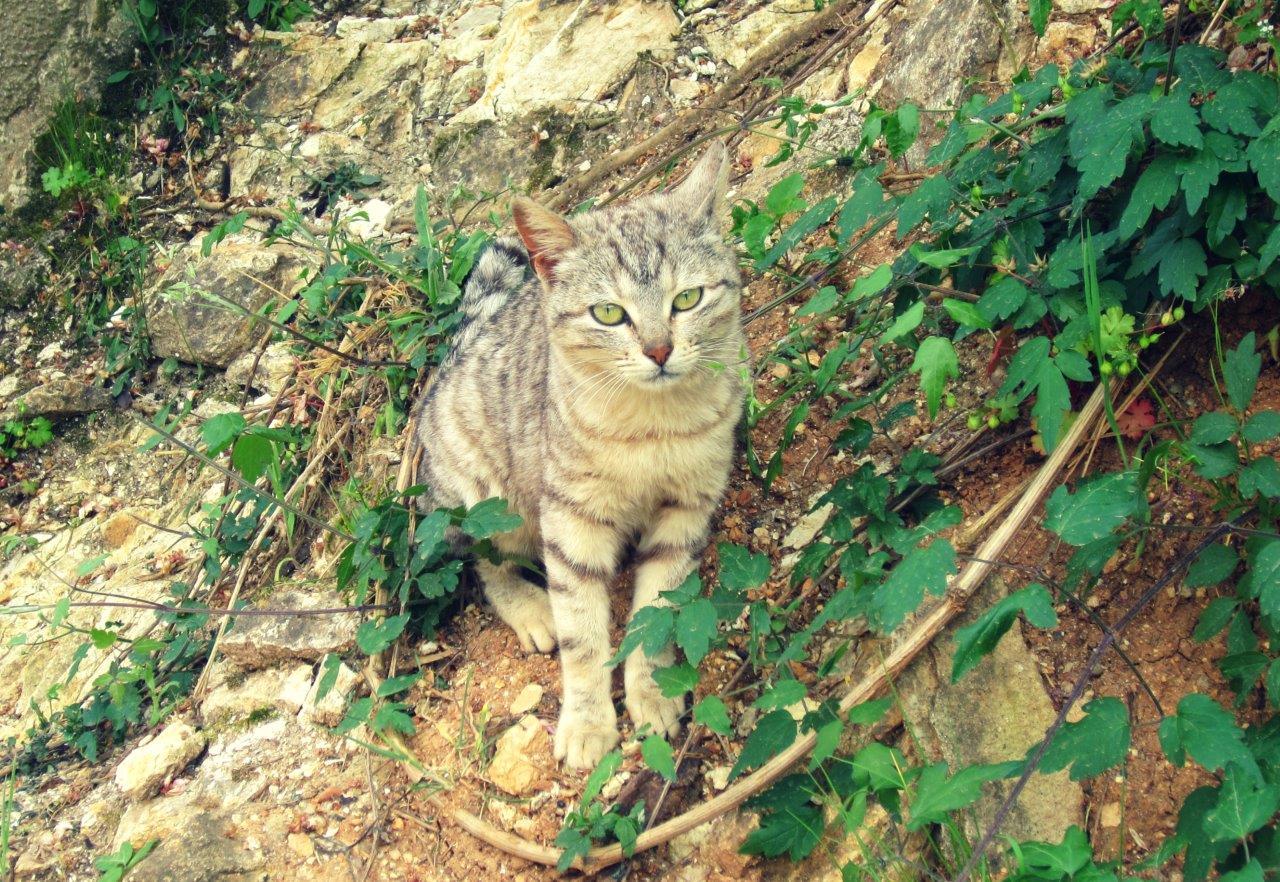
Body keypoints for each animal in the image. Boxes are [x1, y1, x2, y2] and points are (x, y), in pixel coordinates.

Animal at [414, 140, 747, 768]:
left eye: (687, 298)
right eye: (608, 313)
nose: (659, 349)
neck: (652, 428)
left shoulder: (686, 510)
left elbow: (655, 615)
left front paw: (650, 693)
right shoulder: (572, 520)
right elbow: (583, 636)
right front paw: (589, 722)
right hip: (488, 500)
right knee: (487, 564)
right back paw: (531, 609)